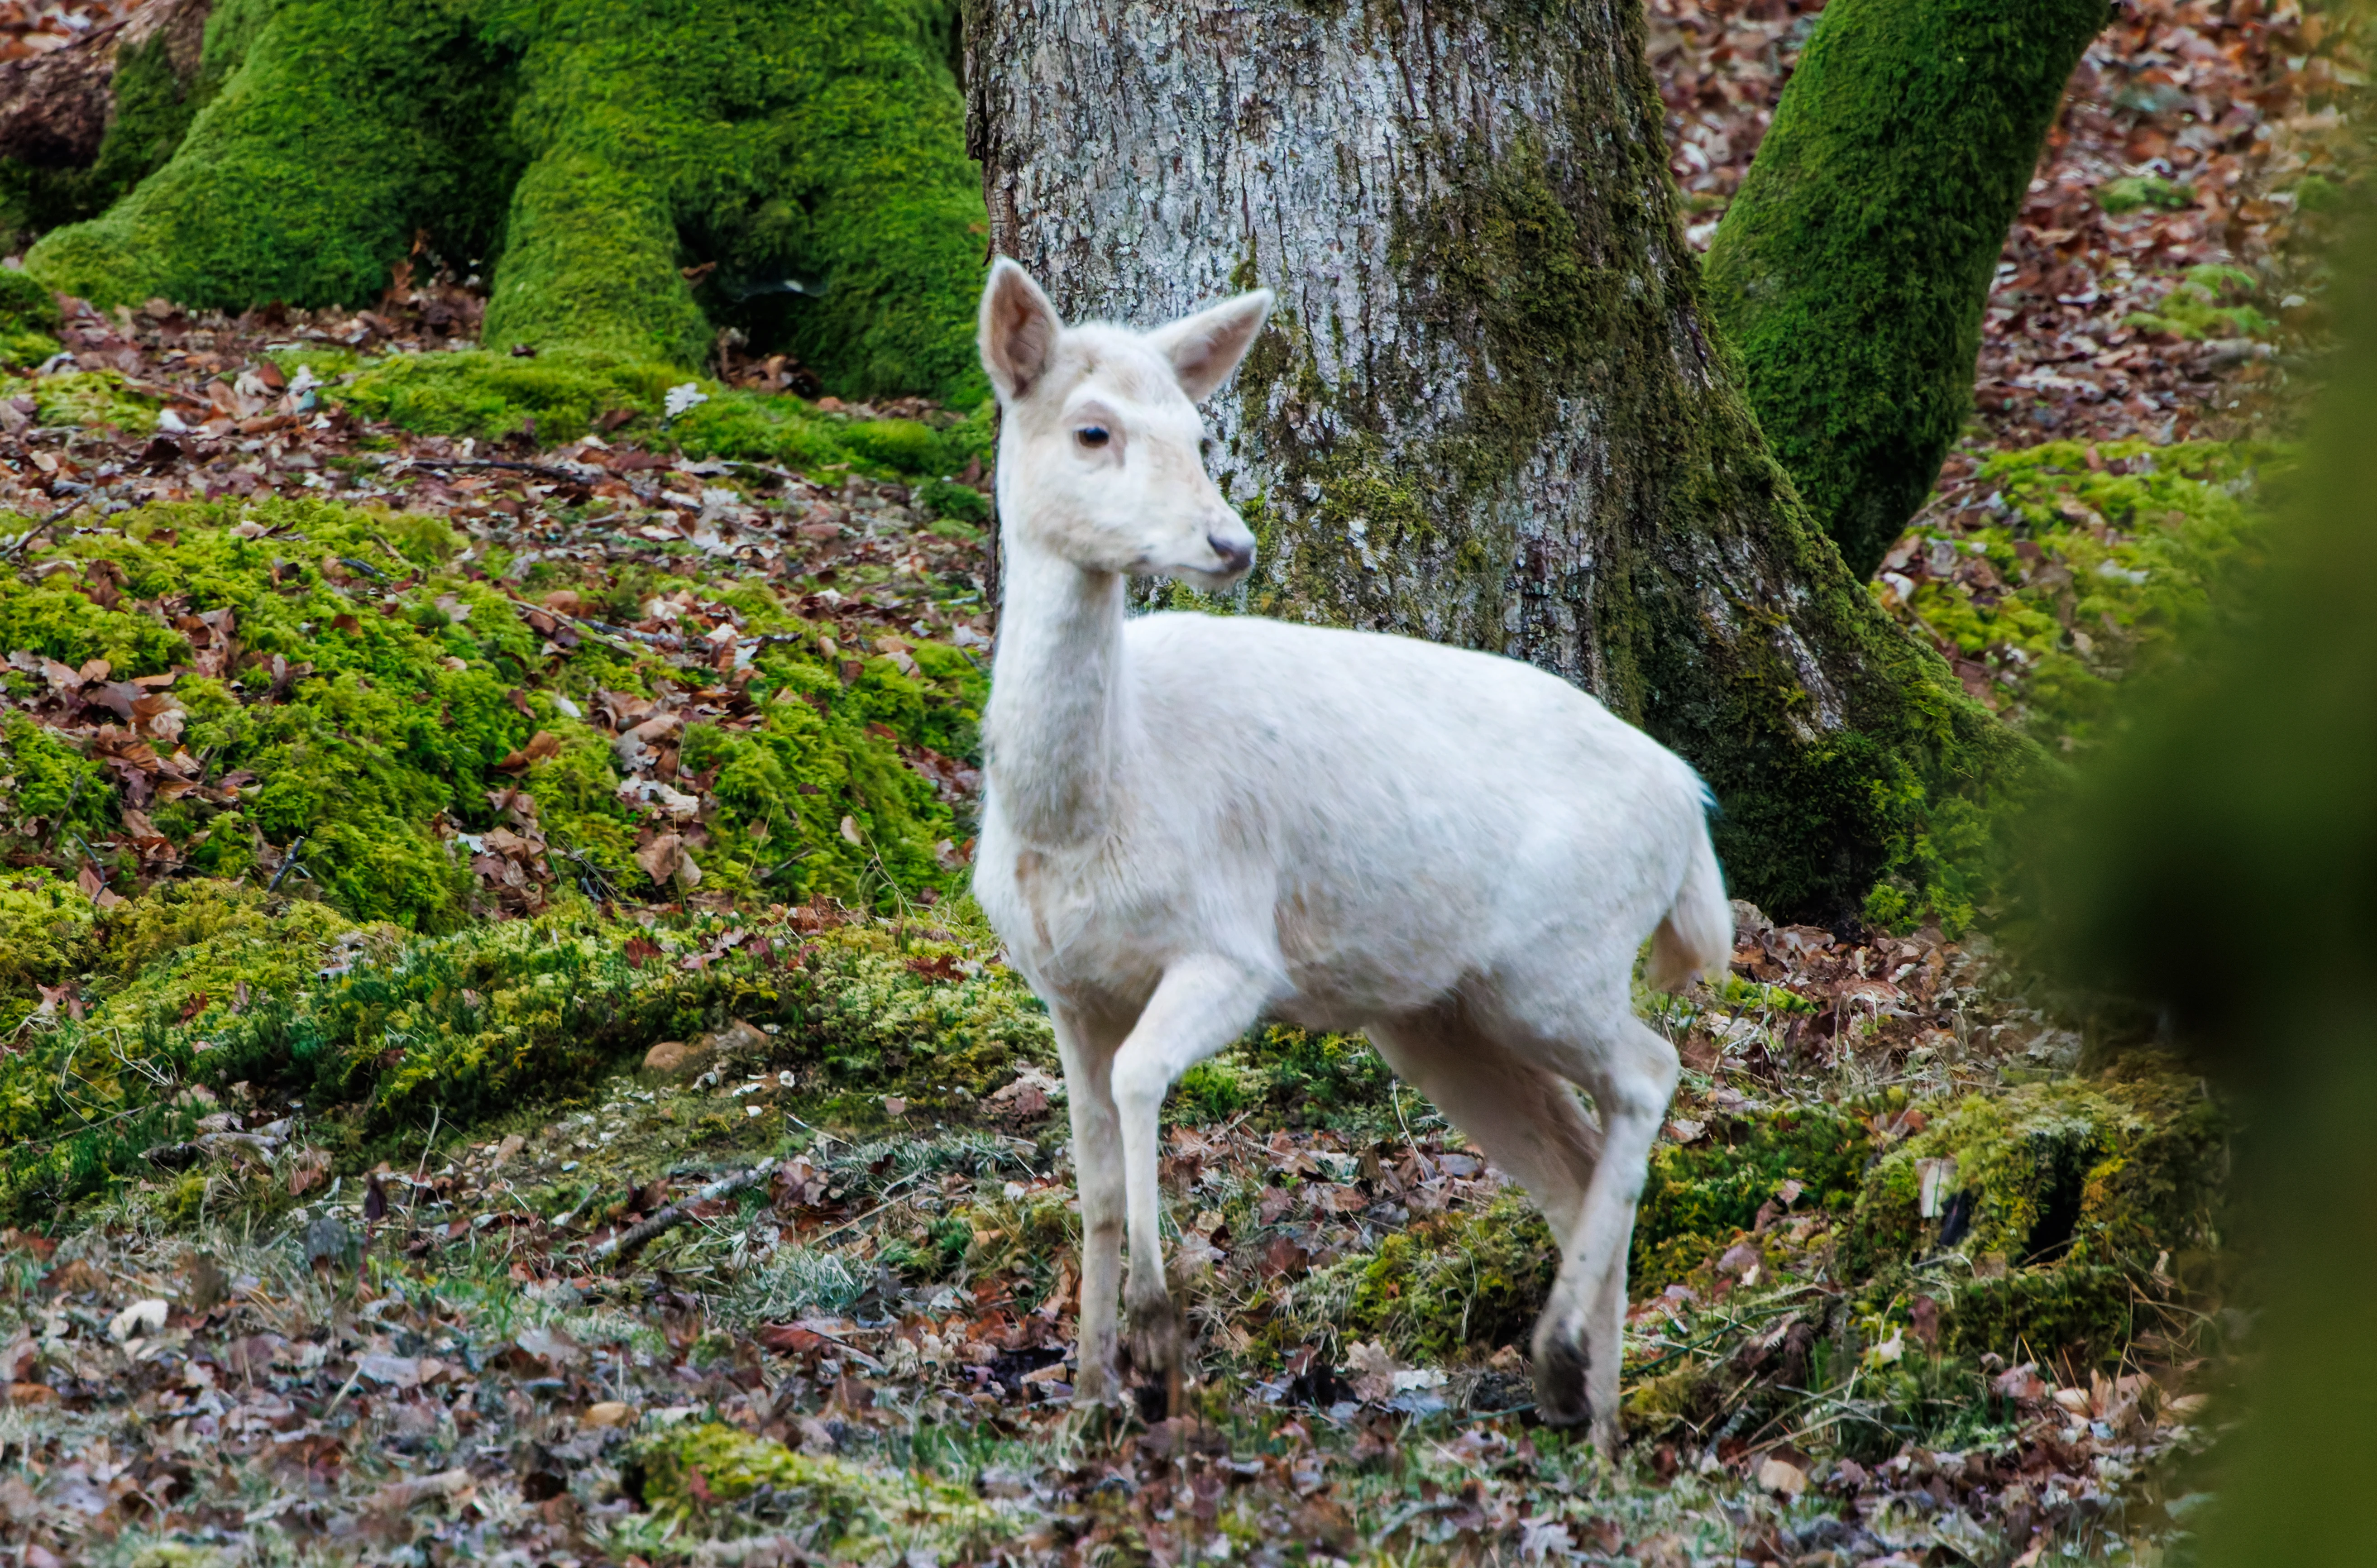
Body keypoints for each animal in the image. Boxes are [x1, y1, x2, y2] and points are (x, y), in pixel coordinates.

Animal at [970, 258, 1730, 1453]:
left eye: (1198, 429)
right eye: (1093, 428)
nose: (1228, 544)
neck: (1088, 810)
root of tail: (1692, 809)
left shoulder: (1233, 951)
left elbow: (1144, 1078)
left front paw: (1157, 1353)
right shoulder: (1064, 987)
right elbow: (1087, 1183)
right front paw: (1088, 1402)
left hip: (1556, 964)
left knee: (1652, 1070)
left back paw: (1562, 1355)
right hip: (1441, 1019)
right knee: (1575, 1158)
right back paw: (1597, 1422)